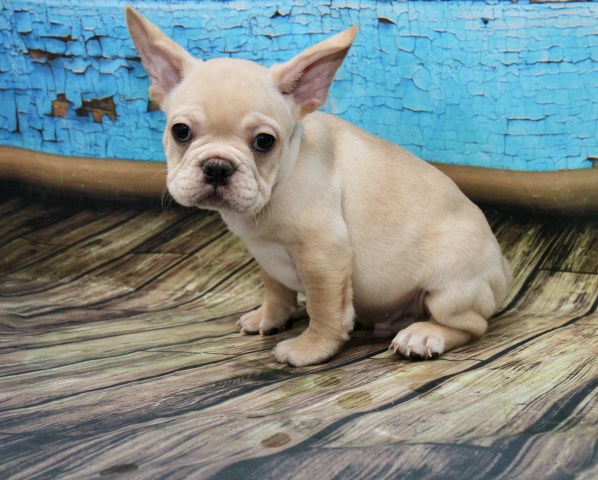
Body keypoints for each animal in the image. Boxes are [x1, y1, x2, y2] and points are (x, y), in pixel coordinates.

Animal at [125, 6, 510, 368]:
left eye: (264, 142)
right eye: (180, 131)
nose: (218, 167)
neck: (282, 176)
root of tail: (502, 268)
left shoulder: (324, 254)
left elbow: (324, 308)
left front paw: (310, 348)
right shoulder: (268, 257)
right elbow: (276, 290)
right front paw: (269, 318)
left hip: (450, 288)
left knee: (471, 325)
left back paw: (423, 335)